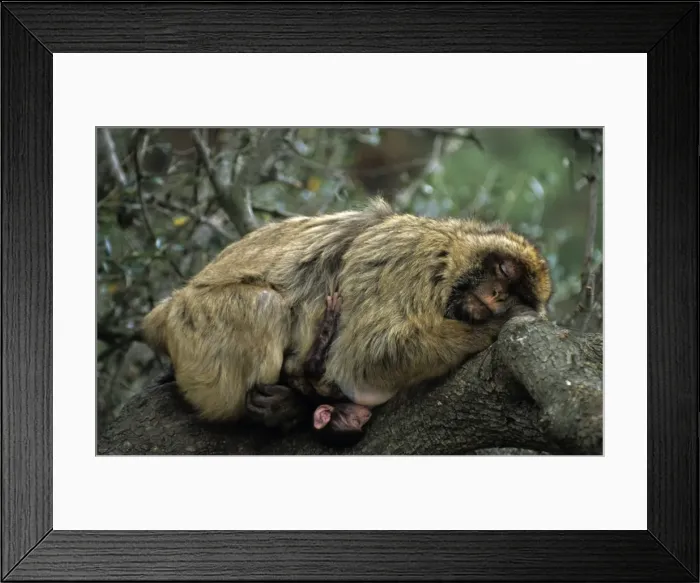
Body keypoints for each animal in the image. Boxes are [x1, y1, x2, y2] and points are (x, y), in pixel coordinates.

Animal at [141, 197, 552, 440]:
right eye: (504, 269)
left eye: (518, 290)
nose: (500, 296)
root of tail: (161, 315)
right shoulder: (411, 256)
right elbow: (368, 355)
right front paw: (493, 328)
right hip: (196, 325)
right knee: (264, 304)